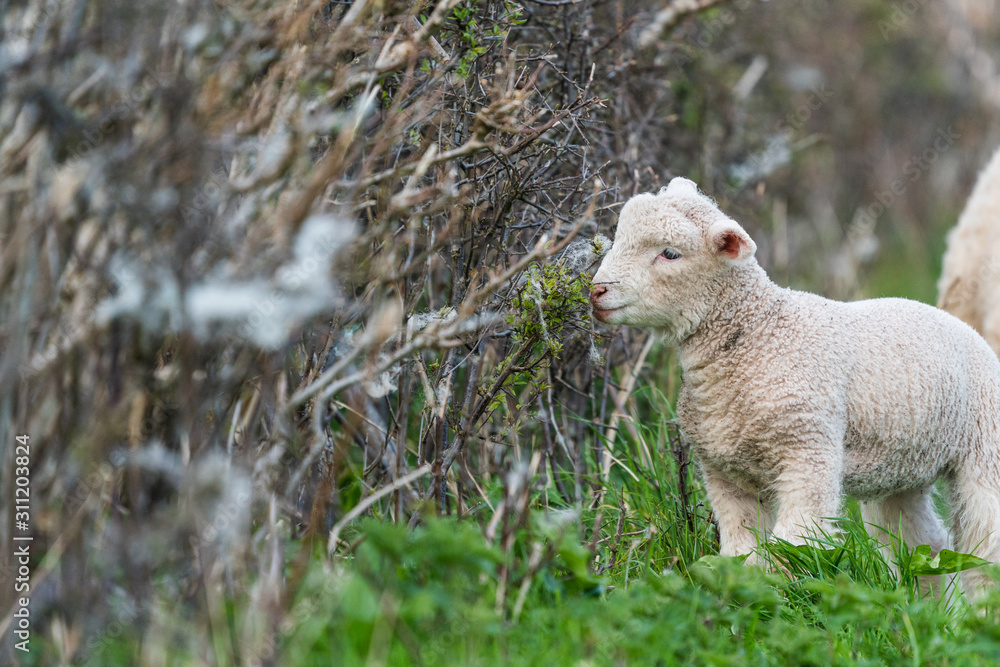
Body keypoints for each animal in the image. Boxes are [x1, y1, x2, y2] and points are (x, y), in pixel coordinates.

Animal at [590, 177, 1000, 596]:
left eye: (670, 253)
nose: (597, 290)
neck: (760, 333)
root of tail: (961, 327)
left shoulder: (807, 450)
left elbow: (793, 544)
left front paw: (785, 593)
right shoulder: (723, 470)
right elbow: (741, 549)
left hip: (986, 449)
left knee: (984, 544)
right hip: (901, 469)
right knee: (924, 542)